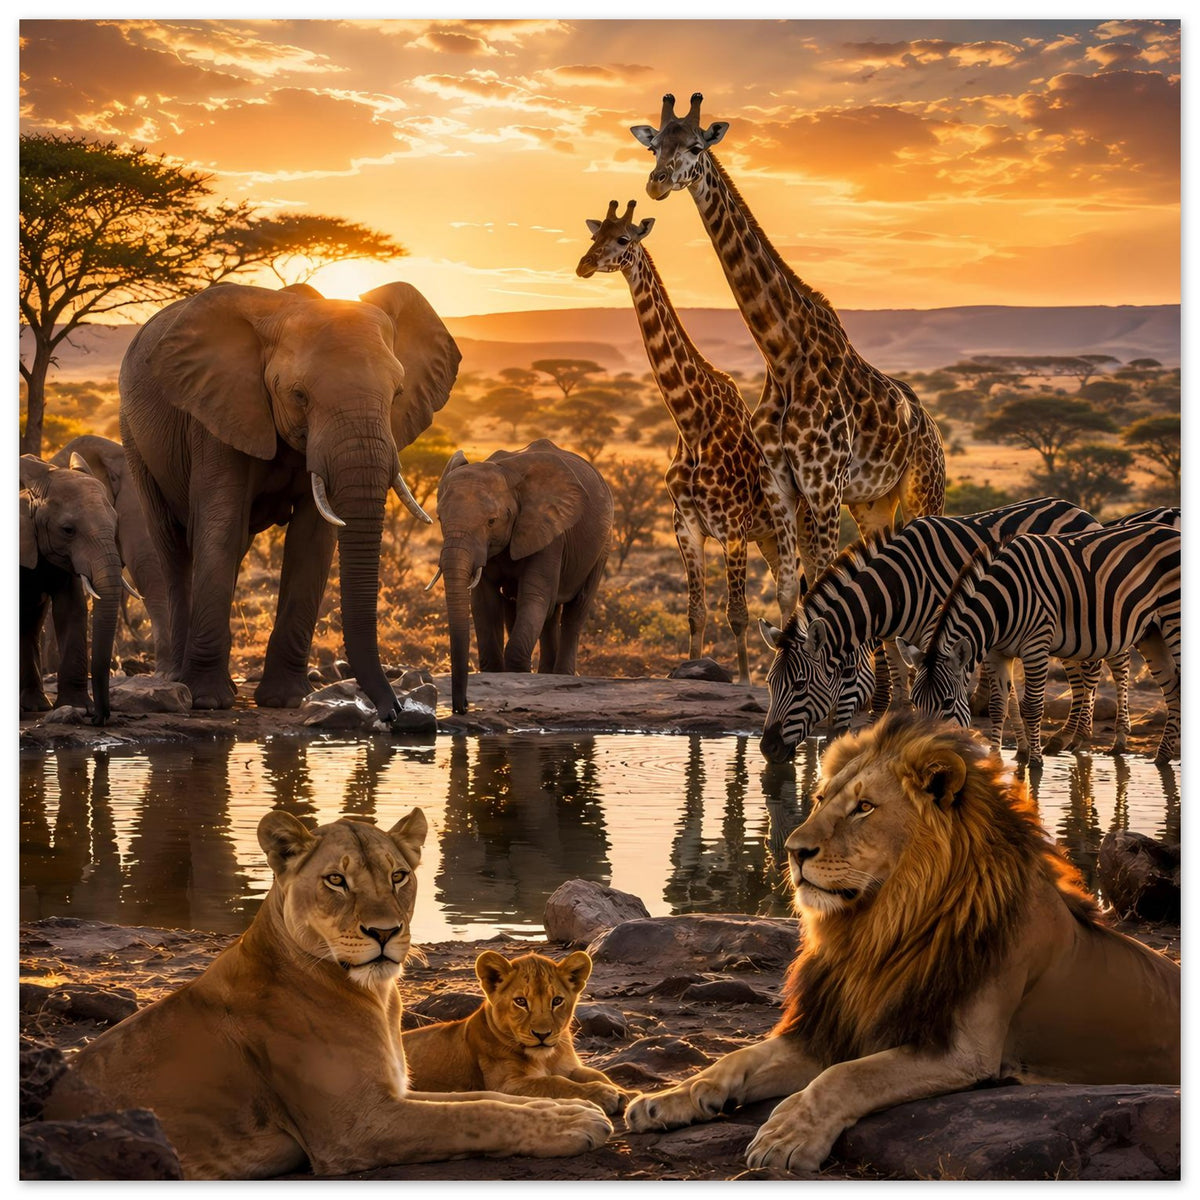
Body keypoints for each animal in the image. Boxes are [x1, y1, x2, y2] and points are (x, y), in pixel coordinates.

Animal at [403, 949, 629, 1115]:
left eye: (557, 1001)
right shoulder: (505, 1086)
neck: (545, 1059)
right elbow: (554, 1082)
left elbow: (595, 1073)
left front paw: (624, 1092)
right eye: (520, 1001)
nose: (542, 1035)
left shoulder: (569, 1067)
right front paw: (604, 1094)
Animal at [626, 713, 1180, 1173]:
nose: (792, 851)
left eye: (864, 808)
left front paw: (786, 1137)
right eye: (822, 800)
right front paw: (672, 1098)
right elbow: (737, 1060)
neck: (880, 929)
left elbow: (846, 1077)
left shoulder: (963, 1051)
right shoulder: (838, 1027)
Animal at [757, 497, 1099, 762]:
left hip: (1074, 615)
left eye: (800, 685)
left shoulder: (938, 633)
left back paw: (1075, 738)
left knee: (1089, 670)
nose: (767, 749)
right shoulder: (896, 639)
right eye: (770, 683)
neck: (896, 587)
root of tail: (1077, 508)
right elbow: (901, 696)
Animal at [905, 522, 1180, 765]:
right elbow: (997, 706)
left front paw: (1035, 762)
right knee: (1173, 687)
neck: (1000, 605)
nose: (922, 755)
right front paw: (995, 760)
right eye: (914, 702)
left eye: (948, 702)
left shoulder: (1035, 646)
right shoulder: (996, 653)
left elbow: (1033, 707)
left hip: (1173, 619)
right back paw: (1162, 757)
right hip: (1150, 632)